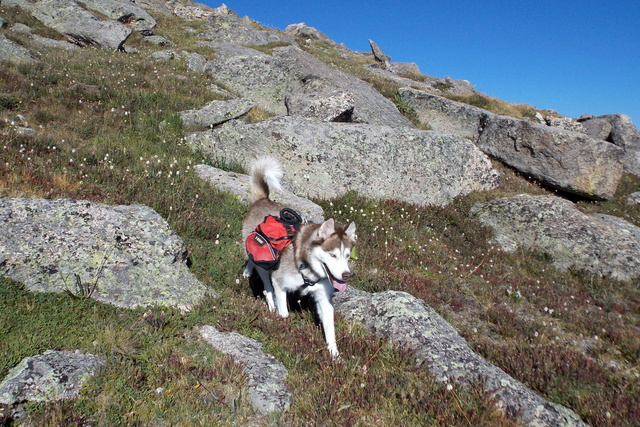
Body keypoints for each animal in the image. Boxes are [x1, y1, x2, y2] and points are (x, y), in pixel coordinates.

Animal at [242, 157, 358, 362]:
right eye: (332, 255)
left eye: (346, 256)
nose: (346, 275)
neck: (308, 269)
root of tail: (263, 200)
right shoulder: (280, 282)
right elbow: (284, 311)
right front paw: (282, 323)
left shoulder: (324, 298)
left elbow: (330, 330)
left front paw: (335, 356)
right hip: (264, 260)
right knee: (263, 281)